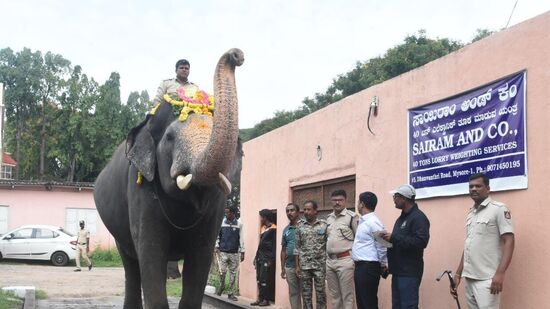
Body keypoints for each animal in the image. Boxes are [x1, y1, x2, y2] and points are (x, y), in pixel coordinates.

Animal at [95, 48, 246, 308]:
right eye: (169, 138)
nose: (236, 54)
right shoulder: (140, 188)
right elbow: (150, 251)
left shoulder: (215, 208)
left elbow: (201, 255)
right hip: (116, 229)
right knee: (130, 264)